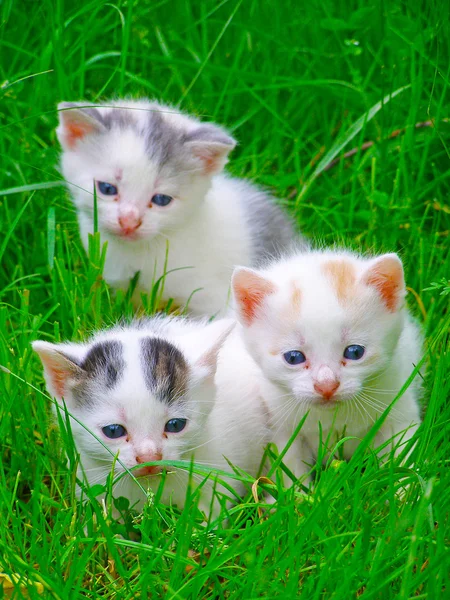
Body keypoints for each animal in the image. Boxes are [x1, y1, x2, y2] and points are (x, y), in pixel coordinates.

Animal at [230, 250, 424, 482]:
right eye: (293, 357)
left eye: (355, 352)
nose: (326, 386)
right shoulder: (281, 428)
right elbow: (290, 468)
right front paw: (298, 491)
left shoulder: (399, 408)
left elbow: (405, 455)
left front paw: (407, 488)